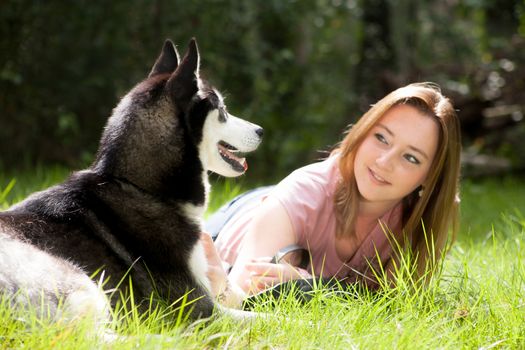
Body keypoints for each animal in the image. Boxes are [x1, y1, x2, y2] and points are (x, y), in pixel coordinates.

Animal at [0, 39, 262, 322]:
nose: (260, 130)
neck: (141, 189)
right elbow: (266, 317)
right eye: (222, 110)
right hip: (80, 281)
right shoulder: (197, 307)